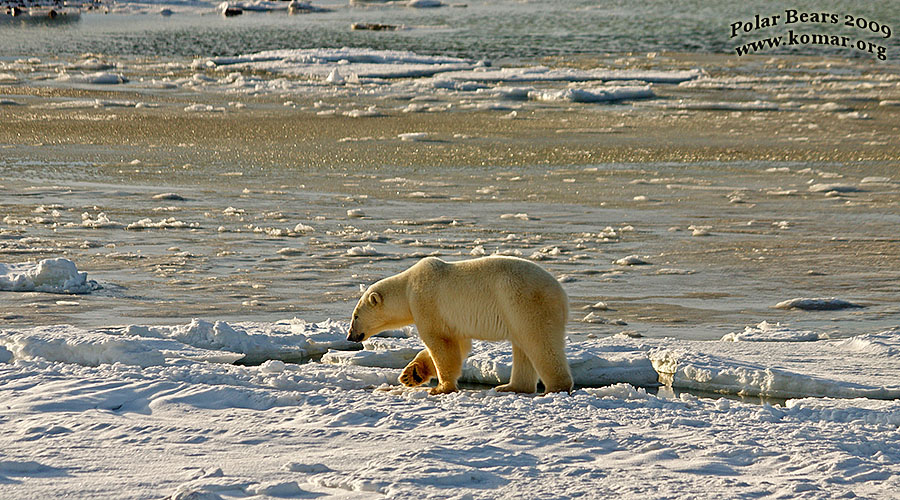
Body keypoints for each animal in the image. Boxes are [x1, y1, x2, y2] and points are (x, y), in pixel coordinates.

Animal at [348, 258, 572, 394]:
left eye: (355, 316)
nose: (350, 336)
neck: (407, 287)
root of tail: (561, 293)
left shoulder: (426, 302)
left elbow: (441, 343)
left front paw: (440, 388)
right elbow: (460, 344)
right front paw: (411, 375)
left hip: (524, 302)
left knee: (539, 342)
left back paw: (555, 388)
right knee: (523, 347)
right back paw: (510, 387)